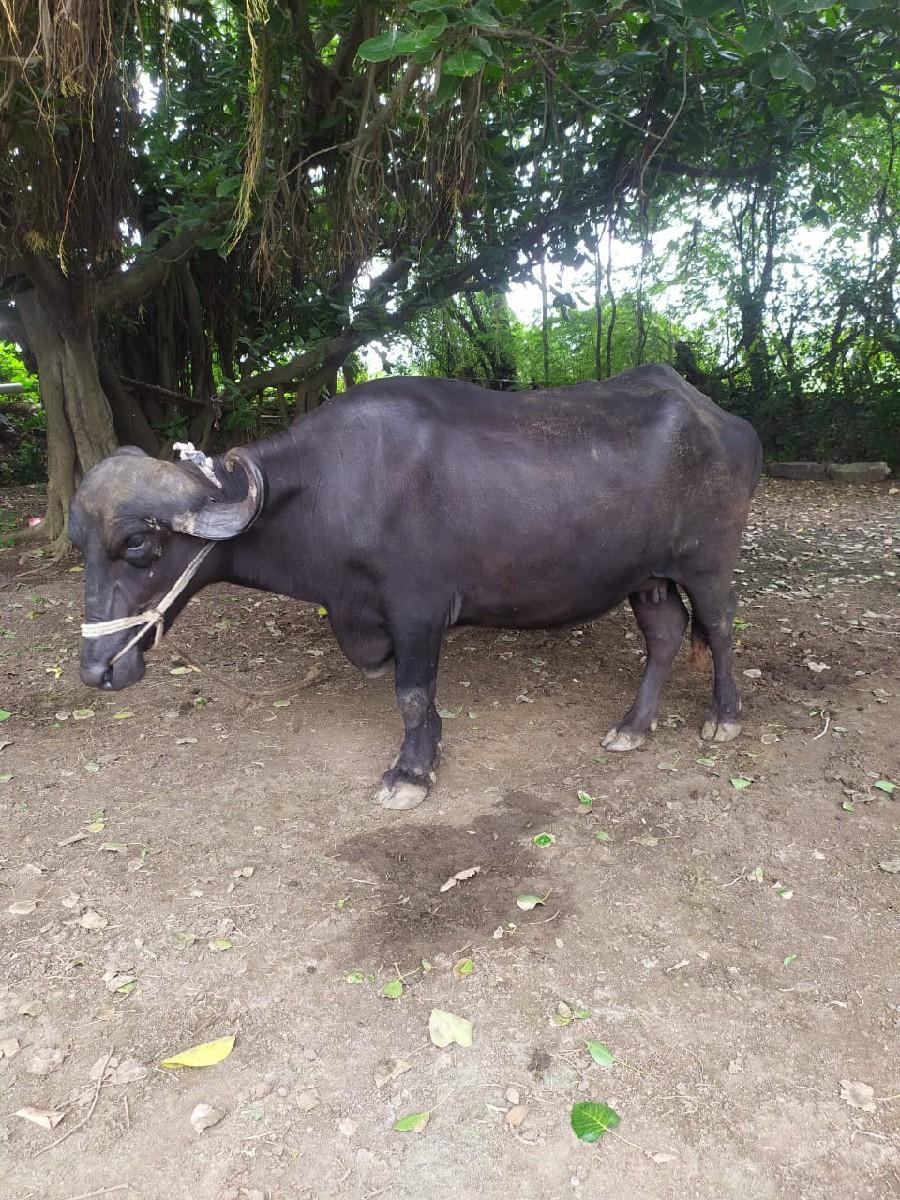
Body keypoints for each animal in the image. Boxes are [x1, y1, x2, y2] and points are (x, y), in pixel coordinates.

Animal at [70, 364, 763, 810]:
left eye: (139, 545)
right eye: (81, 545)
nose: (96, 669)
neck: (329, 489)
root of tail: (726, 423)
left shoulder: (418, 610)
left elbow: (409, 694)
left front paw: (410, 774)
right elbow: (420, 700)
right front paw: (429, 751)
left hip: (707, 561)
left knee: (721, 625)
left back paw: (724, 718)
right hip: (647, 576)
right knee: (667, 633)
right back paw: (633, 726)